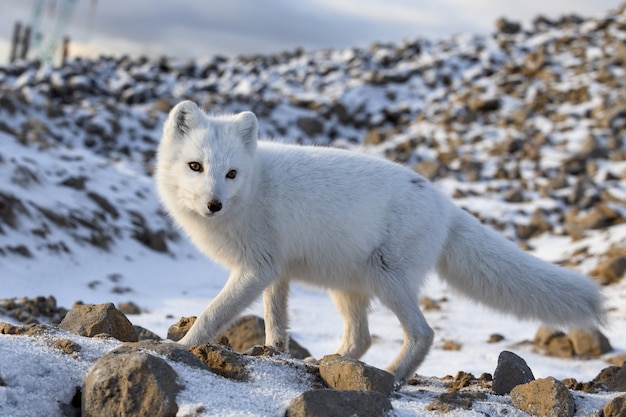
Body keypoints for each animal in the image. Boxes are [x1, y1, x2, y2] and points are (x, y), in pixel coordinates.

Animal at [156, 100, 604, 380]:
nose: (214, 204)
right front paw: (274, 352)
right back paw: (330, 361)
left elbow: (213, 313)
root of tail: (446, 206)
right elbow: (276, 321)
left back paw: (393, 375)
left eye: (231, 173)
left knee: (423, 334)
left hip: (387, 276)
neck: (253, 189)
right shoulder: (274, 270)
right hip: (348, 286)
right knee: (362, 337)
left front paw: (179, 346)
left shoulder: (256, 268)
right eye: (195, 166)